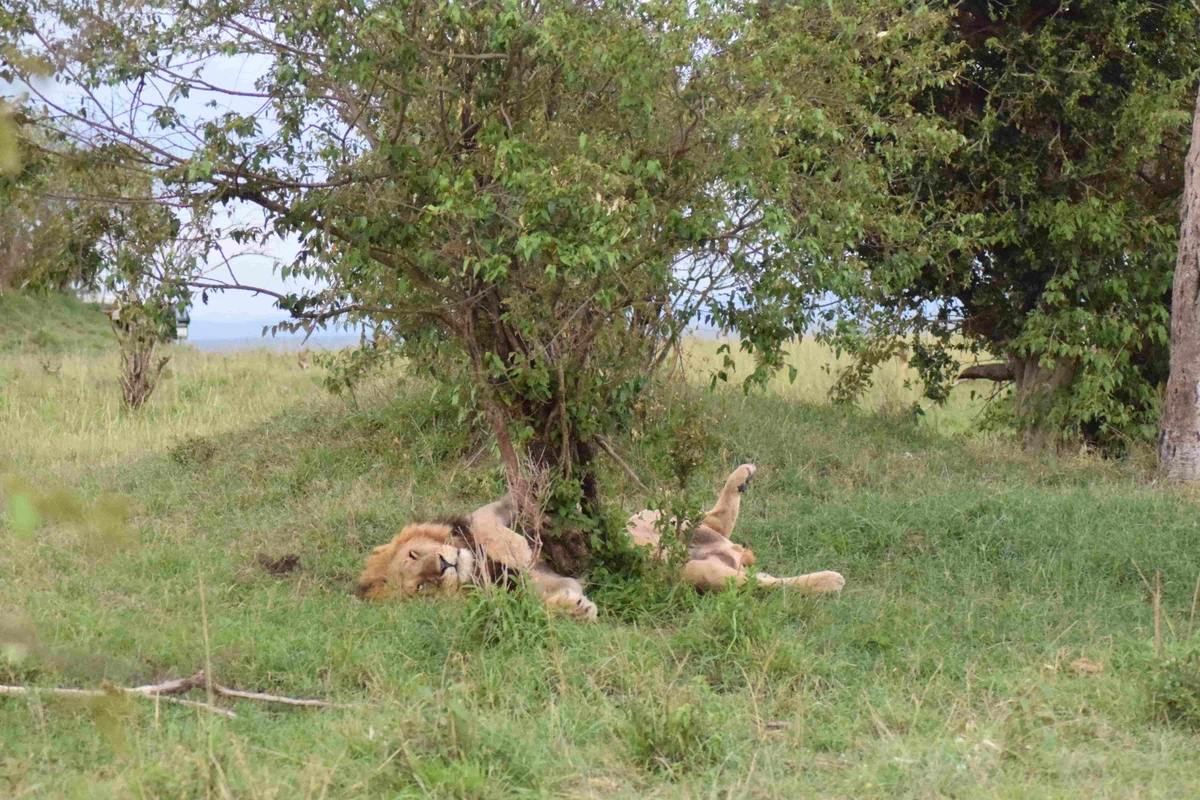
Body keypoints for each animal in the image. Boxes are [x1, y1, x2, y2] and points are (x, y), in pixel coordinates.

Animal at [355, 462, 844, 618]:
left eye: (416, 553)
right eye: (422, 588)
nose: (442, 566)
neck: (480, 570)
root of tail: (733, 556)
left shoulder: (506, 507)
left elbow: (493, 527)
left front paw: (515, 549)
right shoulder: (543, 584)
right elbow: (552, 599)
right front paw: (574, 609)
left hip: (649, 518)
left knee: (713, 520)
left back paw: (741, 477)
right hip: (701, 575)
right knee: (764, 585)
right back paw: (826, 582)